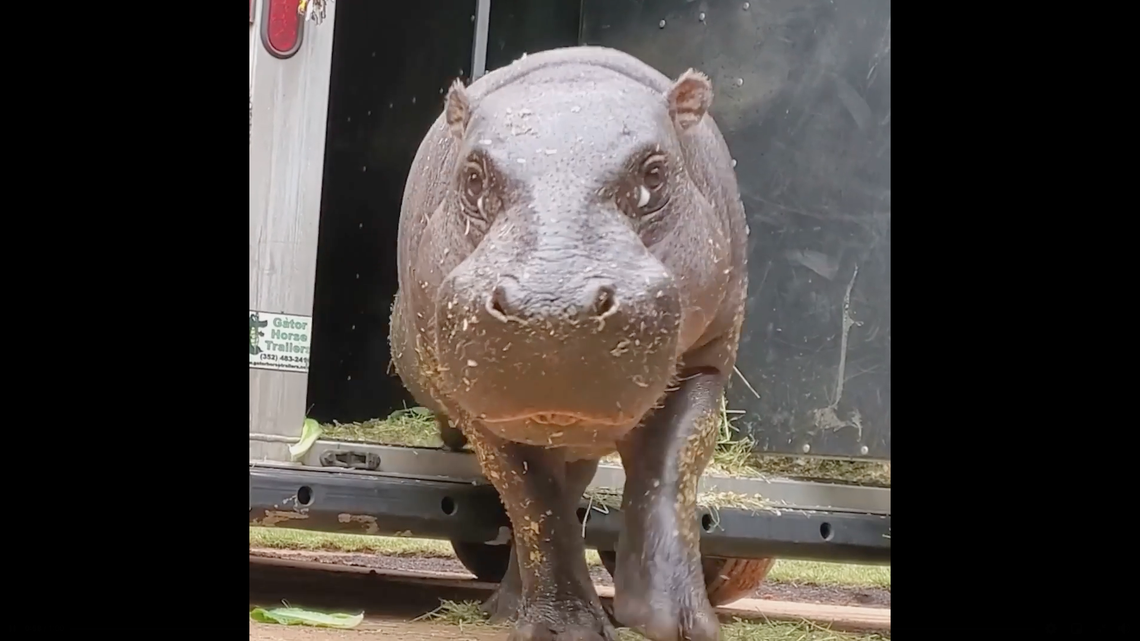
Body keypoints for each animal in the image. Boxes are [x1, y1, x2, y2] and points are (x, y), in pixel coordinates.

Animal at [389, 46, 749, 641]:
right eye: (472, 176)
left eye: (656, 173)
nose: (550, 310)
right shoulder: (481, 413)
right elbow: (534, 504)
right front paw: (567, 628)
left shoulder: (706, 361)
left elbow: (670, 475)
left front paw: (679, 623)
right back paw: (511, 610)